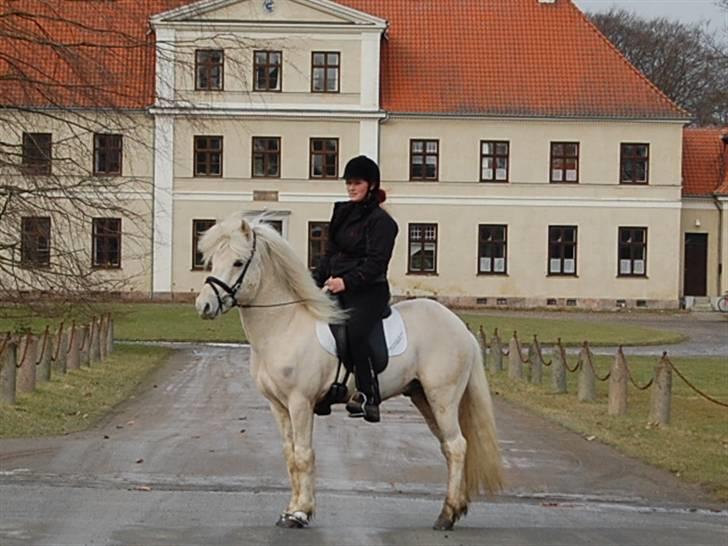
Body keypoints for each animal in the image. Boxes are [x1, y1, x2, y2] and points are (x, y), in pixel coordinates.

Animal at [193, 211, 500, 528]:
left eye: (238, 262)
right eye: (212, 259)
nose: (204, 305)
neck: (285, 325)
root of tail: (460, 327)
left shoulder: (300, 403)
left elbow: (303, 455)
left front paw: (301, 513)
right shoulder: (277, 405)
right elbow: (290, 456)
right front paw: (290, 510)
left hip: (443, 397)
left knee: (457, 446)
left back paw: (446, 515)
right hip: (423, 397)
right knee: (448, 446)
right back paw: (456, 508)